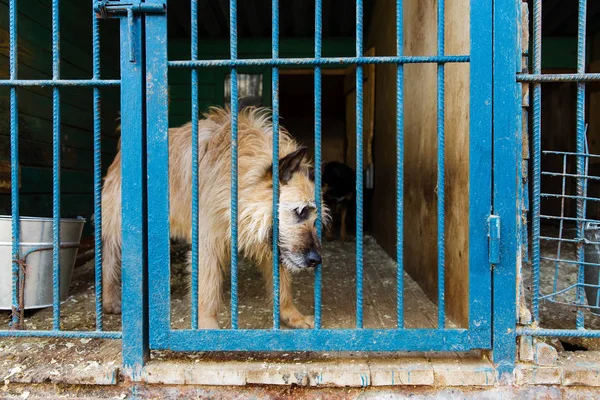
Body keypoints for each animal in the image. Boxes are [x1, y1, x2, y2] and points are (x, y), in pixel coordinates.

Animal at [103, 107, 328, 328]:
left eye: (315, 220)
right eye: (300, 211)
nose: (316, 260)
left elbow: (281, 283)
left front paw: (292, 315)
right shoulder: (208, 241)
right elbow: (208, 287)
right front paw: (207, 325)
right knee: (109, 257)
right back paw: (110, 299)